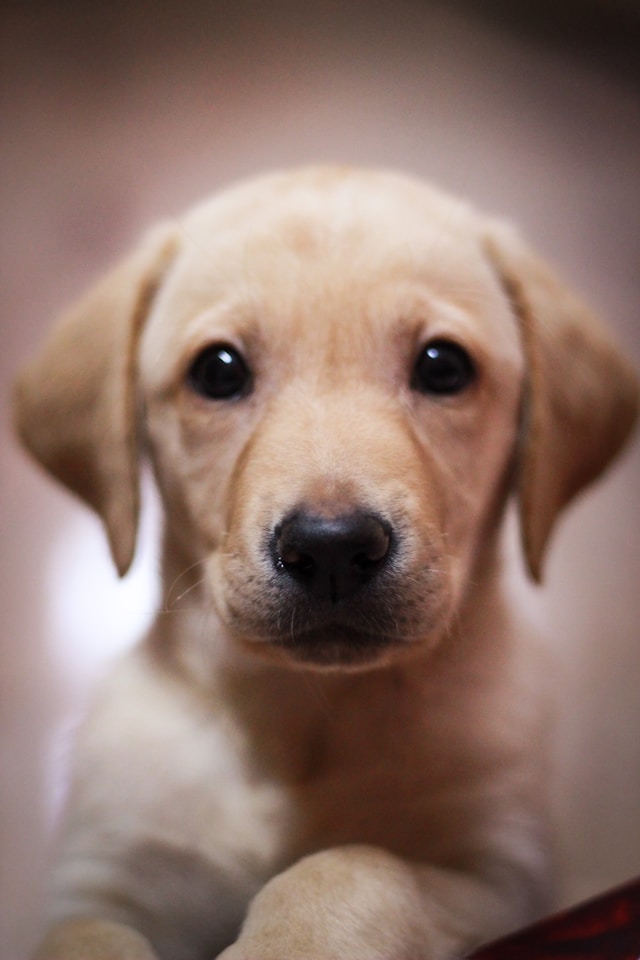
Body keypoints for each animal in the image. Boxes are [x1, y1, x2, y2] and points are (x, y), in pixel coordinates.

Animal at [12, 167, 636, 960]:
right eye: (217, 371)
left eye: (444, 366)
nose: (333, 546)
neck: (302, 716)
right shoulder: (111, 873)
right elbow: (81, 935)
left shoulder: (508, 878)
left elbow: (357, 864)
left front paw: (292, 937)